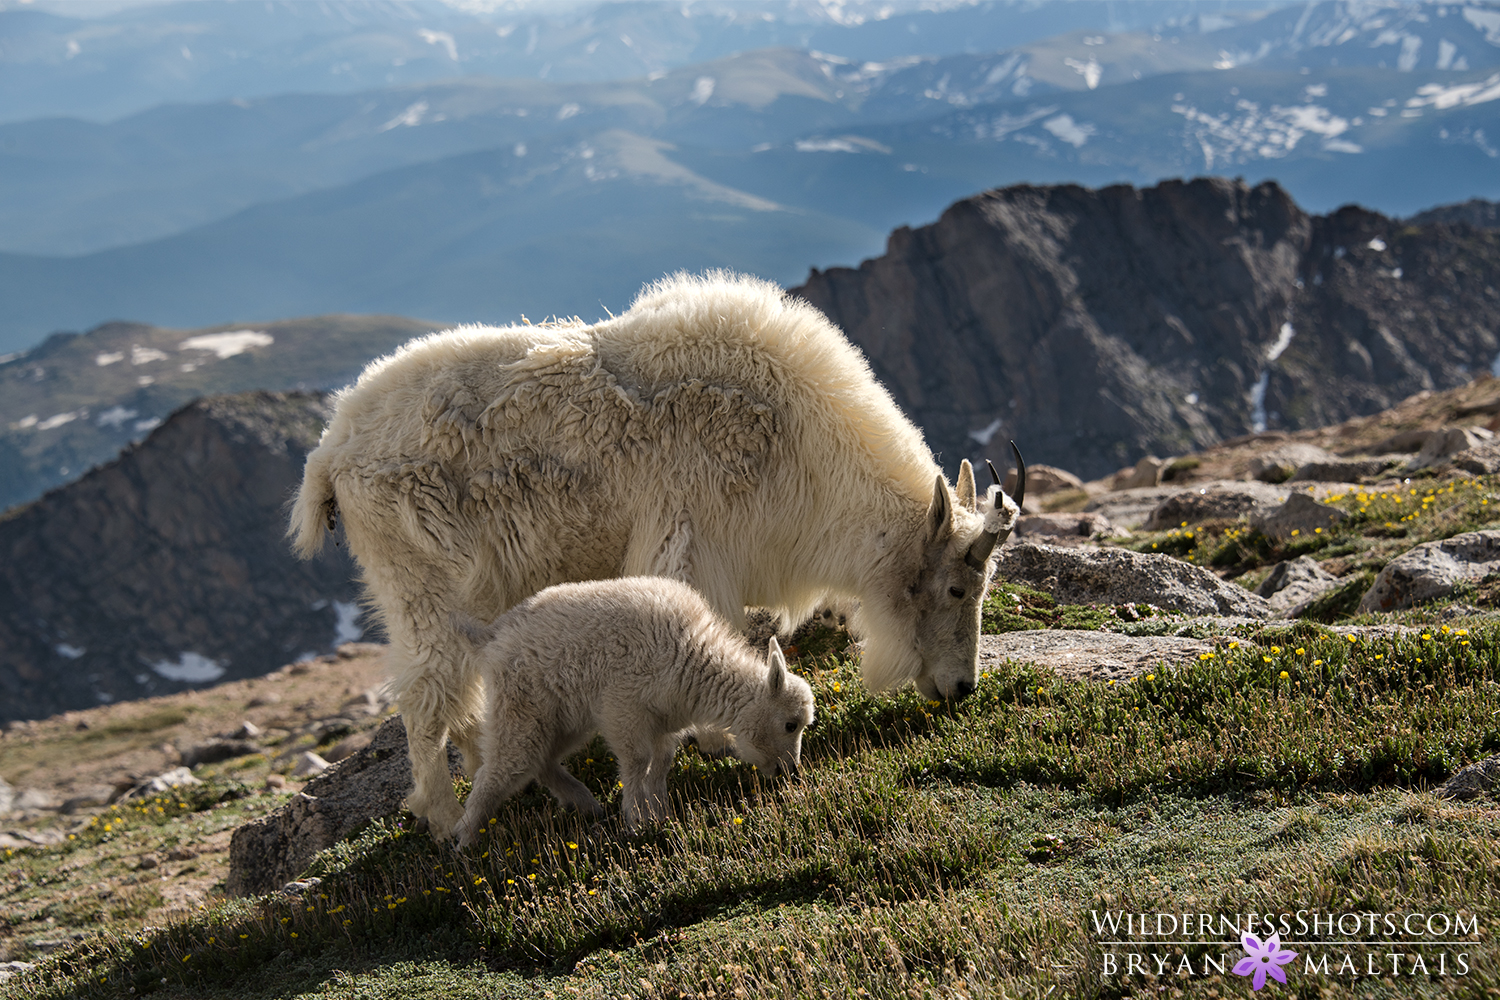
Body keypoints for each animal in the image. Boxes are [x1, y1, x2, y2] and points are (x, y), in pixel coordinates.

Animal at [292, 271, 1020, 839]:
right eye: (957, 587)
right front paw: (716, 738)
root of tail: (328, 456)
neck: (794, 441)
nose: (962, 688)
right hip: (416, 583)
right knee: (423, 695)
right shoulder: (692, 544)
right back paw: (445, 819)